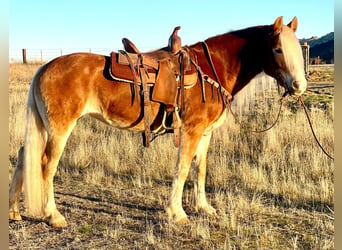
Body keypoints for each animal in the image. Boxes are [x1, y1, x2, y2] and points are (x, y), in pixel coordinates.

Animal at [9, 15, 306, 227]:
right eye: (277, 49)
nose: (299, 86)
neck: (211, 70)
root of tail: (43, 68)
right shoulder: (191, 131)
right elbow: (182, 169)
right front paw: (177, 212)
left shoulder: (205, 133)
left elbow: (199, 170)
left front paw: (203, 208)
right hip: (60, 130)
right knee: (46, 165)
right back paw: (53, 216)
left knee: (24, 156)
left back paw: (13, 211)